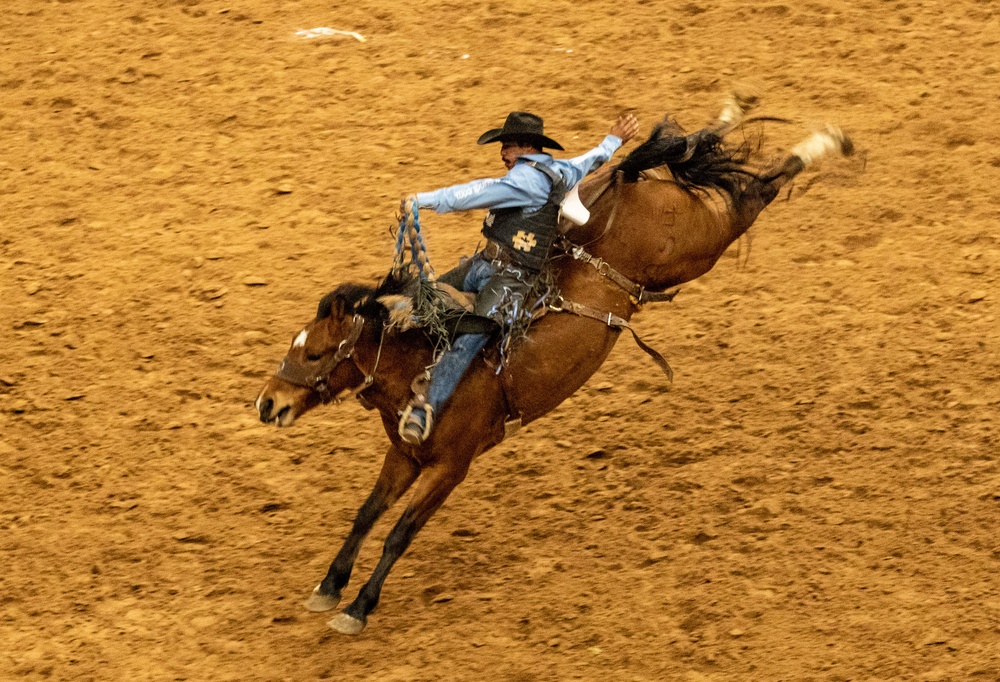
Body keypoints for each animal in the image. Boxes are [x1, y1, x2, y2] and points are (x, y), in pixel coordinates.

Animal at [256, 98, 852, 636]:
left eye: (314, 353)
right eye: (294, 343)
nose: (267, 403)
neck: (420, 369)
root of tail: (628, 184)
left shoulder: (451, 466)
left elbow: (400, 531)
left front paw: (358, 608)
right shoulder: (404, 455)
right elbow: (367, 513)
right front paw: (329, 585)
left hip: (694, 247)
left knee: (754, 193)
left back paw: (821, 142)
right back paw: (726, 120)